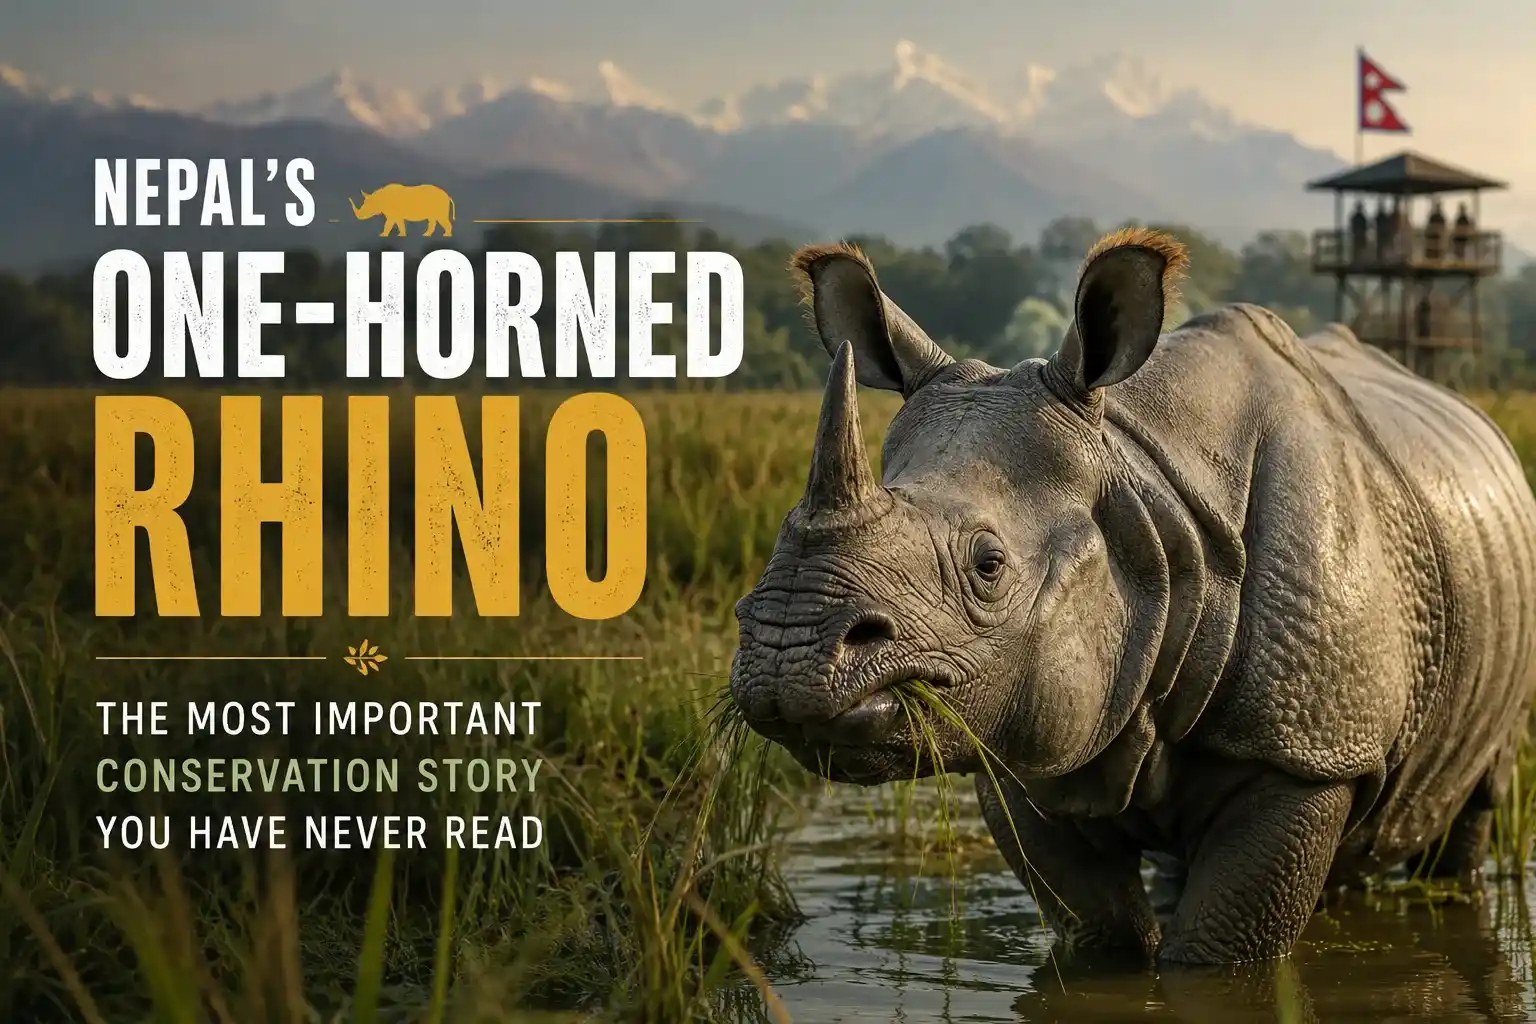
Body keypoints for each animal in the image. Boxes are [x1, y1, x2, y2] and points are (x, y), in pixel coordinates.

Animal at [728, 228, 1536, 965]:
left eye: (989, 565)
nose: (787, 652)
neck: (1143, 483)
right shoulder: (1022, 744)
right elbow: (1102, 936)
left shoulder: (1308, 750)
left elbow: (1215, 955)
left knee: (1474, 803)